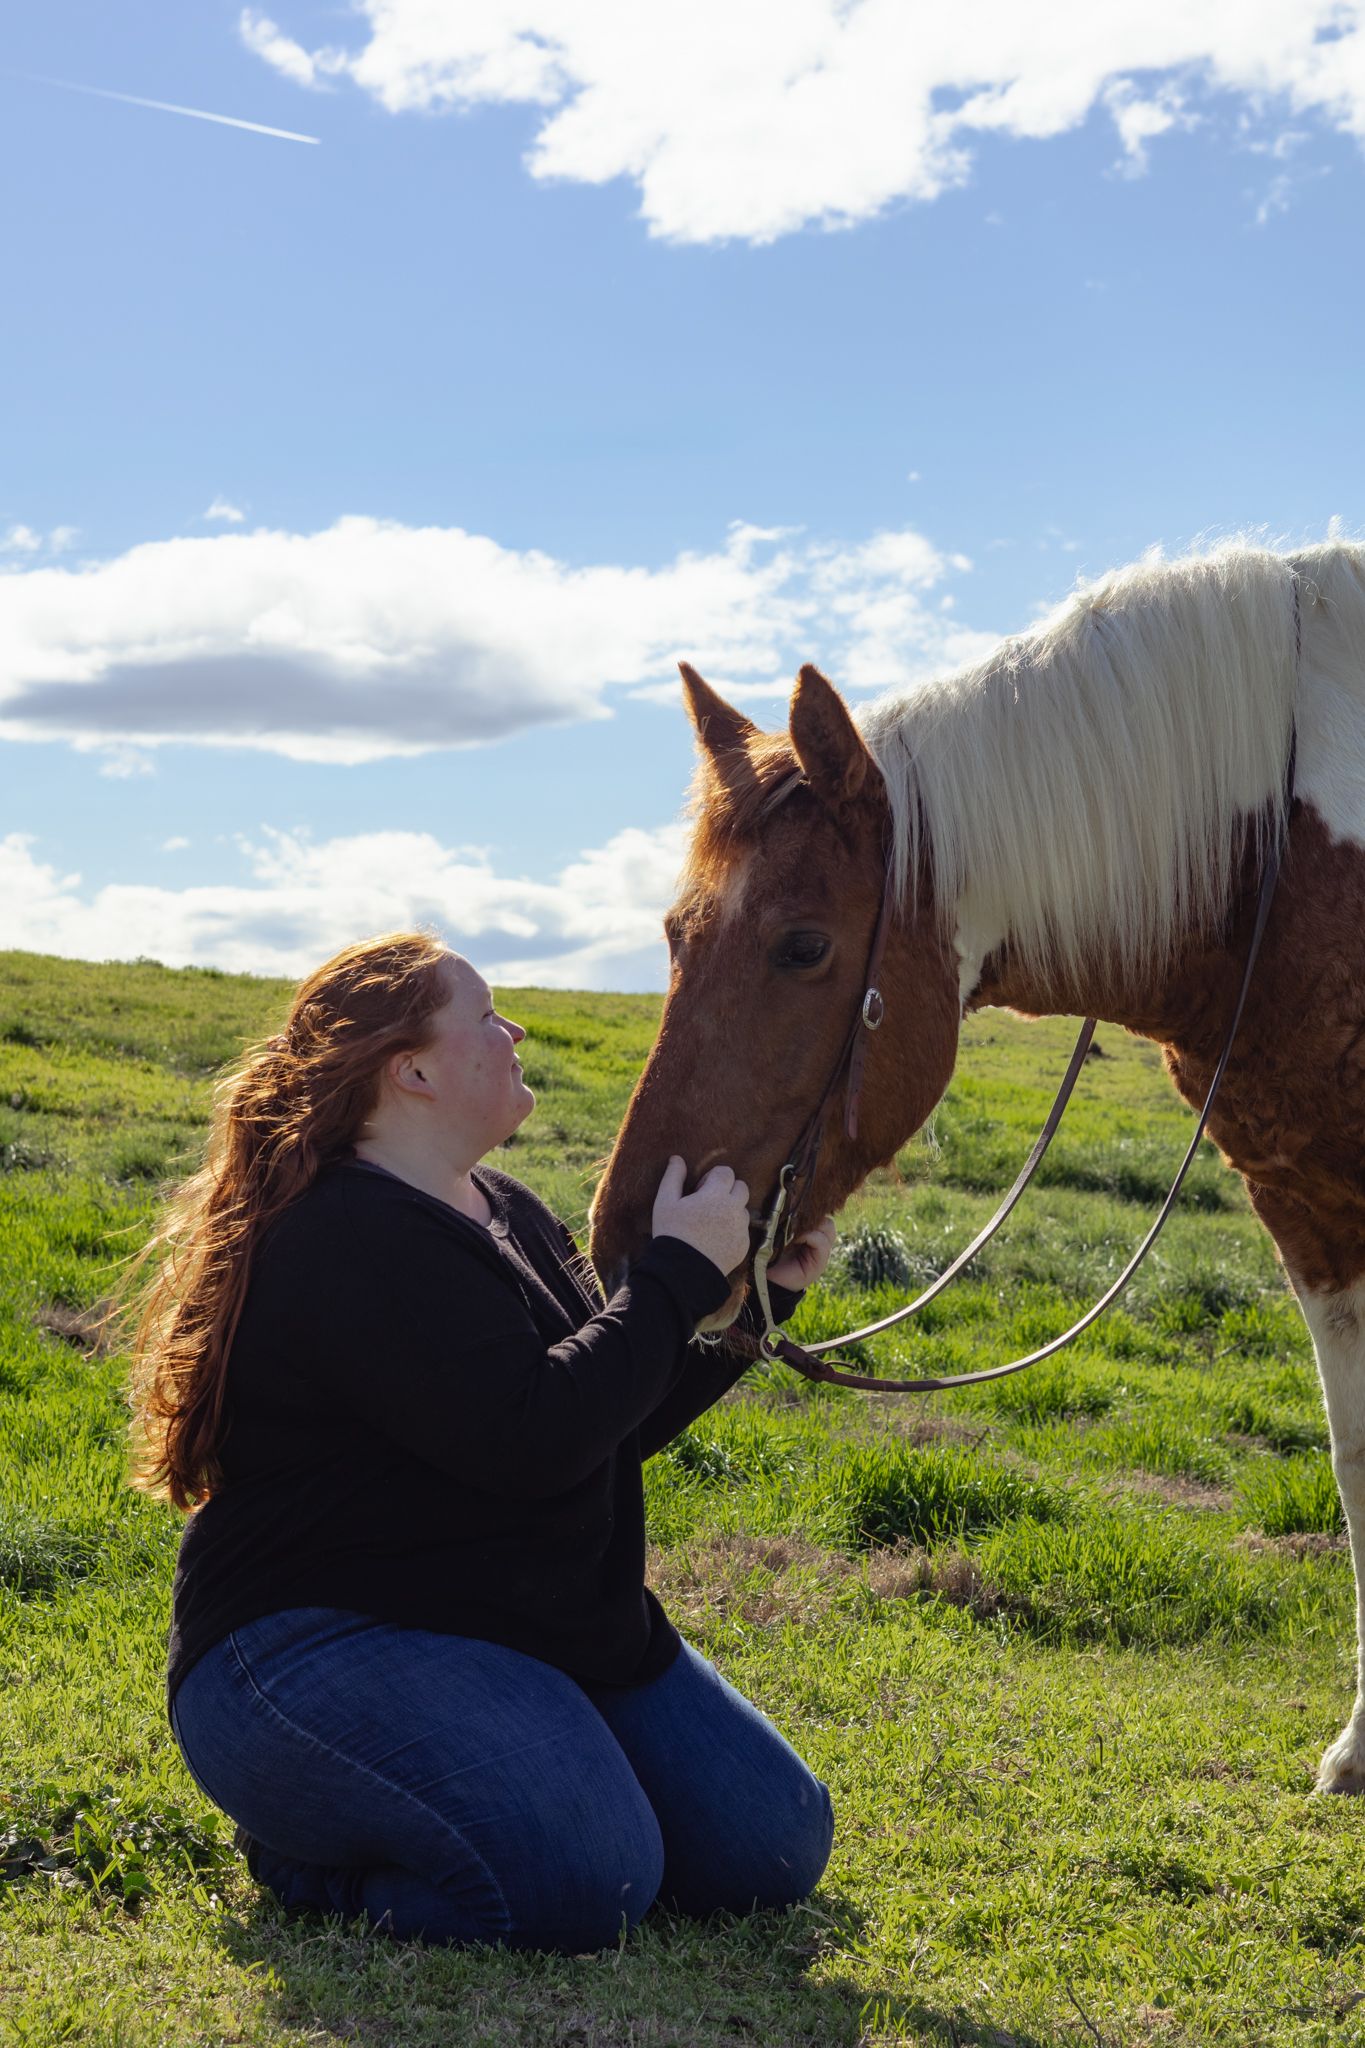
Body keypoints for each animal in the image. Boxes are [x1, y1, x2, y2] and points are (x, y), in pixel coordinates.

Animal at [589, 538, 1365, 1795]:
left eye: (804, 945)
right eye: (671, 933)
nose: (624, 1246)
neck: (1289, 861)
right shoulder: (1310, 1202)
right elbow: (1355, 1457)